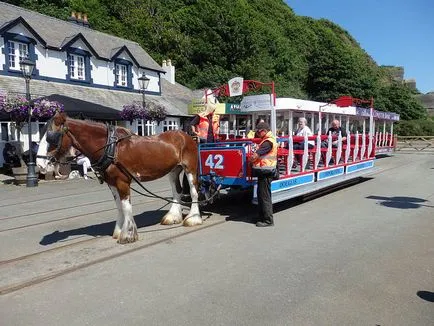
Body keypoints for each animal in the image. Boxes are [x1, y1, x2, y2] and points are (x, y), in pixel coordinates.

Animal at [36, 111, 203, 242]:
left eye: (51, 137)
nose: (39, 164)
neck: (111, 147)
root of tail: (184, 135)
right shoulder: (112, 182)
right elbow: (118, 206)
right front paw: (118, 230)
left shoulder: (122, 181)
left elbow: (125, 206)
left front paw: (128, 234)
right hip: (173, 170)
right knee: (177, 191)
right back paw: (173, 216)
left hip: (190, 168)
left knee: (194, 191)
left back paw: (193, 218)